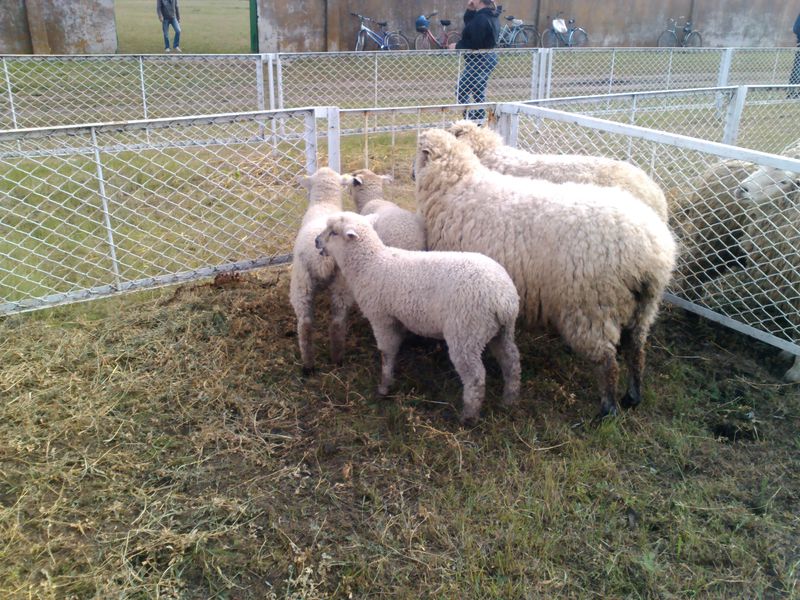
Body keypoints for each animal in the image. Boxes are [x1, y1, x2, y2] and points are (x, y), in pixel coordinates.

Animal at [288, 166, 350, 372]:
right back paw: (337, 358)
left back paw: (308, 365)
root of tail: (324, 259)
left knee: (305, 325)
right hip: (342, 285)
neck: (325, 202)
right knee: (338, 323)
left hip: (301, 283)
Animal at [312, 211, 520, 426]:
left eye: (334, 232)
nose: (316, 241)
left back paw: (468, 417)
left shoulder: (381, 317)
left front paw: (384, 386)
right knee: (512, 362)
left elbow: (386, 352)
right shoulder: (396, 318)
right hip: (501, 330)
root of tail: (503, 299)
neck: (371, 264)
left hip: (466, 333)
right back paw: (509, 400)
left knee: (476, 377)